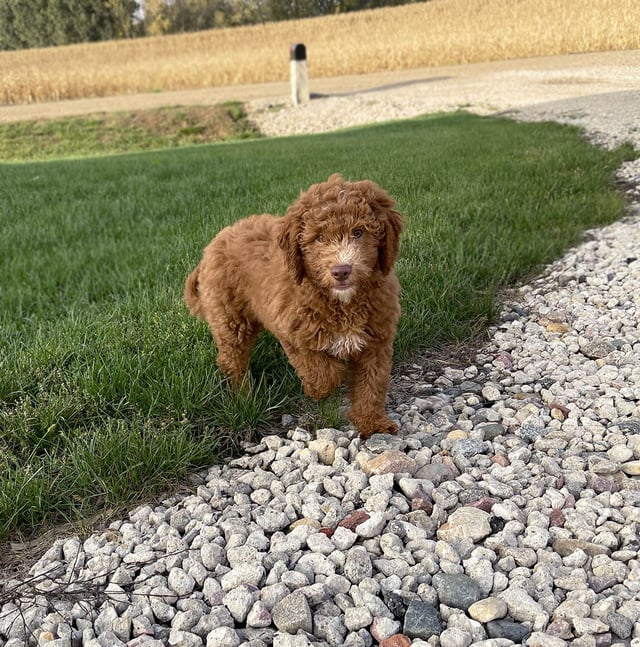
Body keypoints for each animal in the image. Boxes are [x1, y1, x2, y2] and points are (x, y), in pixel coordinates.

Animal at [185, 172, 404, 438]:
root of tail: (214, 243)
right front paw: (320, 388)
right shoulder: (291, 328)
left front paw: (372, 422)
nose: (341, 271)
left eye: (359, 232)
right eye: (319, 237)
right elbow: (322, 371)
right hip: (229, 318)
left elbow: (372, 383)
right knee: (232, 360)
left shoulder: (377, 341)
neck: (342, 303)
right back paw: (243, 398)